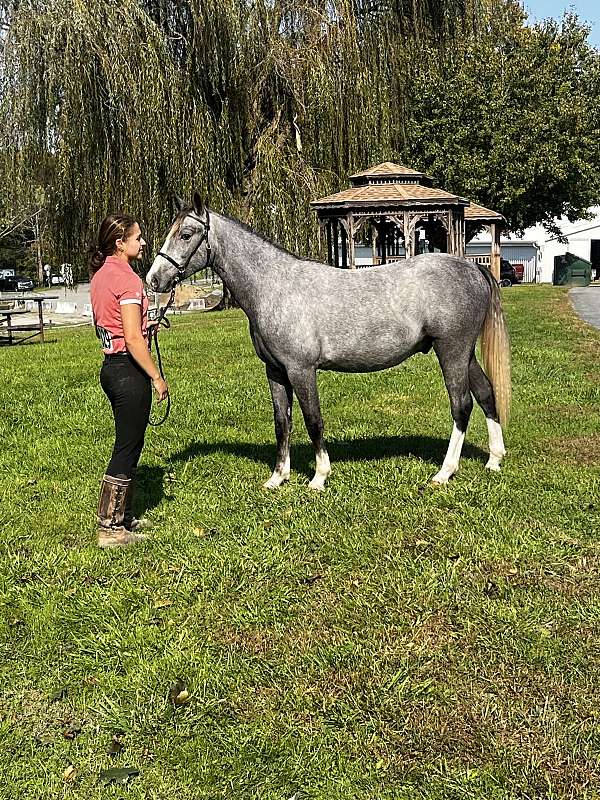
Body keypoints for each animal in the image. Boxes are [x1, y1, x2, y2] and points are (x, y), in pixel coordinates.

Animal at [148, 197, 508, 490]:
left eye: (186, 234)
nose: (154, 279)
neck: (275, 287)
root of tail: (473, 268)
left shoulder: (301, 370)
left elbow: (312, 419)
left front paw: (319, 477)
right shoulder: (275, 372)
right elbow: (282, 422)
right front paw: (278, 478)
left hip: (452, 351)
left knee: (461, 405)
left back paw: (444, 473)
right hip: (464, 354)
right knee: (486, 394)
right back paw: (494, 460)